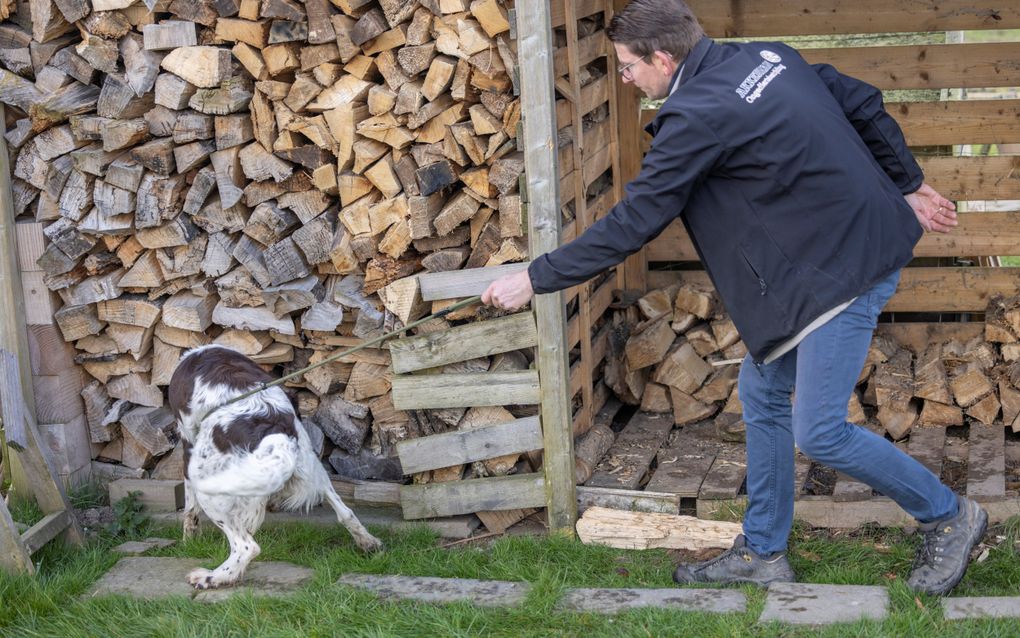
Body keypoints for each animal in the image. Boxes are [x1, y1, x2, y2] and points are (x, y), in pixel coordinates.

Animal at [168, 342, 383, 587]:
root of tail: (275, 432)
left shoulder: (188, 444)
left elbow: (189, 509)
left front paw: (189, 541)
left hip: (211, 486)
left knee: (246, 547)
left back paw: (212, 577)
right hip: (311, 466)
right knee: (345, 511)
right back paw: (368, 542)